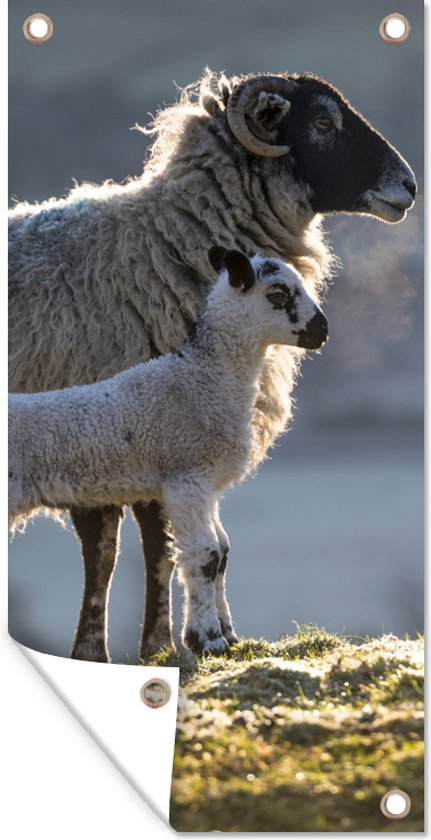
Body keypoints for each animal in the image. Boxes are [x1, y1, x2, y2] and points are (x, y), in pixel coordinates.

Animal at [9, 249, 328, 654]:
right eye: (278, 294)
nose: (322, 331)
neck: (203, 378)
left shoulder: (206, 486)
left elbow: (222, 552)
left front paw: (227, 636)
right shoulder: (184, 478)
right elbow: (205, 555)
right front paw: (208, 640)